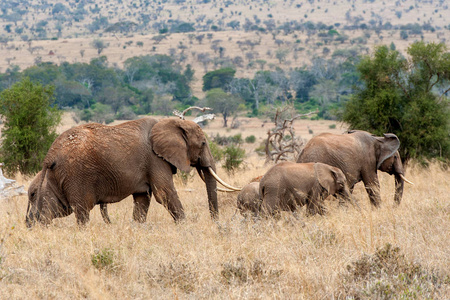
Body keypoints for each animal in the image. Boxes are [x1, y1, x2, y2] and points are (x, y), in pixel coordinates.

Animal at [25, 116, 239, 225]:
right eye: (203, 143)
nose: (215, 223)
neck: (169, 122)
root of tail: (50, 154)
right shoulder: (155, 159)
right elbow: (164, 193)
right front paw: (185, 227)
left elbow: (143, 198)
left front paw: (137, 227)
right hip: (77, 175)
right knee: (81, 211)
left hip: (55, 177)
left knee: (52, 210)